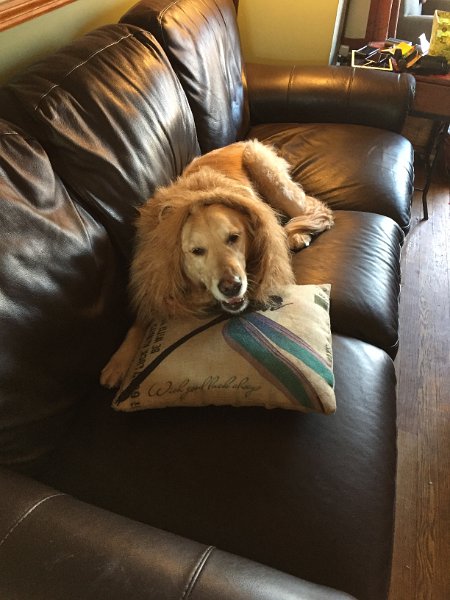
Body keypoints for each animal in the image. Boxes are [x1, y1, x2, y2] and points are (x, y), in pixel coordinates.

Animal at [100, 140, 333, 388]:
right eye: (197, 251)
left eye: (234, 237)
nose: (231, 287)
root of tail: (239, 143)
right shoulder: (158, 272)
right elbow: (144, 314)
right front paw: (119, 360)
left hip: (265, 170)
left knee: (314, 206)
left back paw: (298, 233)